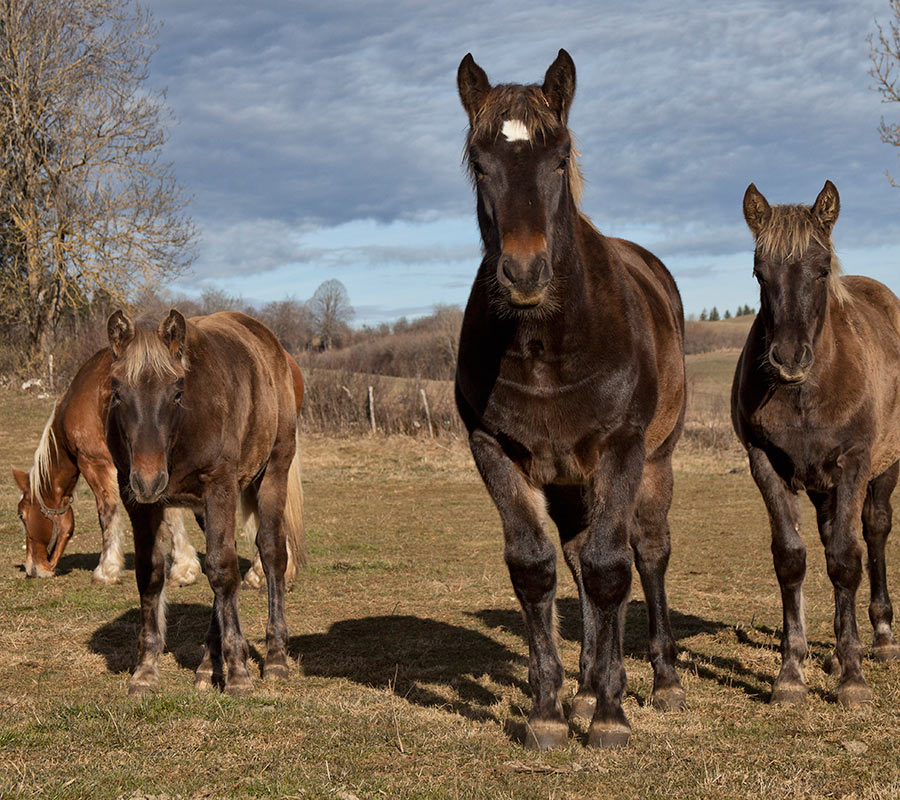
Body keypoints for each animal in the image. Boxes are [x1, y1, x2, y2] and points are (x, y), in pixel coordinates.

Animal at [11, 346, 200, 584]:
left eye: (22, 515)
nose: (32, 568)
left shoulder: (95, 462)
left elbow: (107, 512)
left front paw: (107, 569)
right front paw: (184, 567)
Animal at [106, 308, 306, 692]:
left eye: (177, 391)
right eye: (118, 391)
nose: (149, 480)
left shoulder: (220, 488)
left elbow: (223, 571)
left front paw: (239, 673)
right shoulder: (139, 503)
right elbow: (151, 574)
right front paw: (145, 670)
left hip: (273, 470)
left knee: (271, 552)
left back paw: (274, 656)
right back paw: (206, 665)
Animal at [460, 50, 684, 752]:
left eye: (559, 159)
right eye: (480, 162)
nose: (524, 273)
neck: (546, 341)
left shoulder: (622, 449)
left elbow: (614, 567)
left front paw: (611, 716)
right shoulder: (496, 451)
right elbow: (536, 568)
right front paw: (548, 711)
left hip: (656, 463)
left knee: (647, 553)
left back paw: (662, 681)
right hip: (566, 481)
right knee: (579, 558)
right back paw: (583, 688)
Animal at [736, 181, 900, 708]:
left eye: (823, 269)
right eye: (759, 272)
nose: (788, 358)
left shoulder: (853, 464)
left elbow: (847, 561)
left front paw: (853, 679)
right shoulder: (766, 464)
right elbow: (792, 558)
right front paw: (791, 673)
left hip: (881, 470)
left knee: (874, 531)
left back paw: (881, 639)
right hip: (819, 484)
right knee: (830, 538)